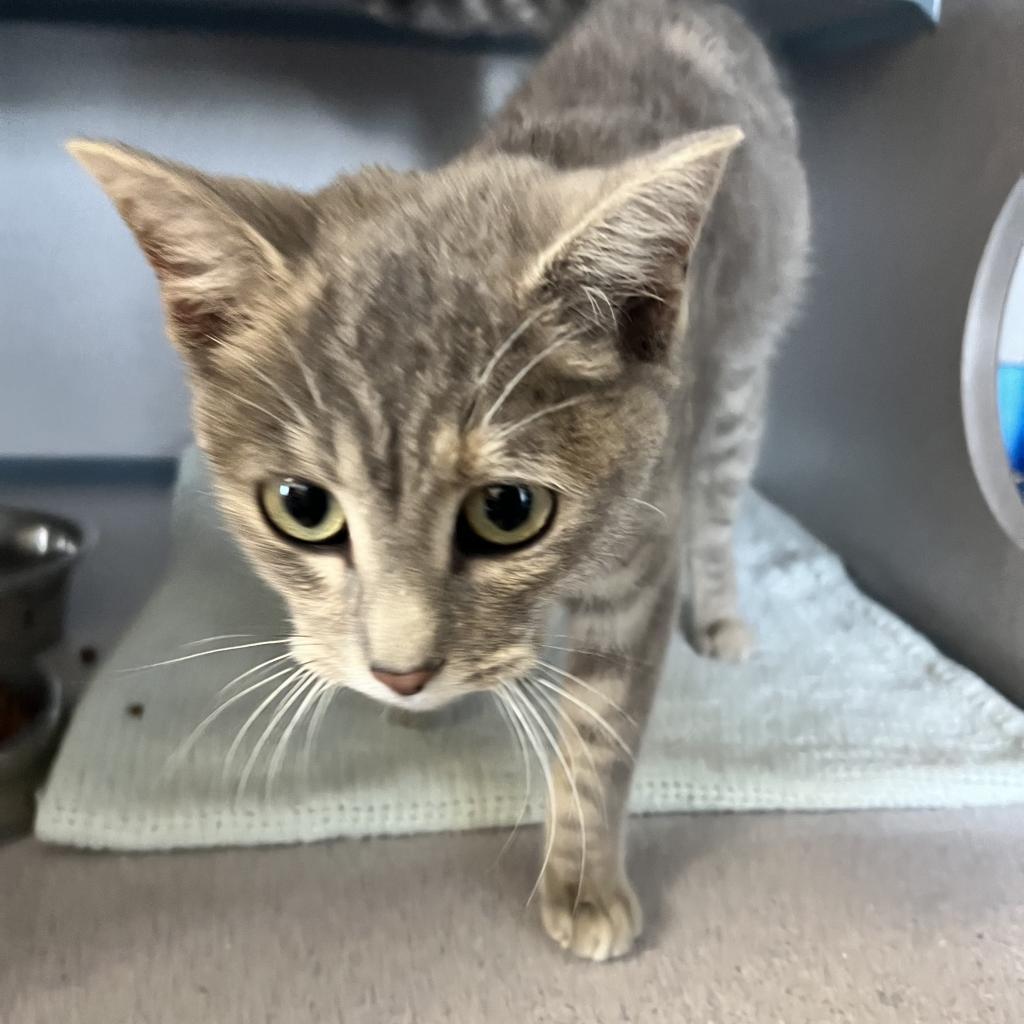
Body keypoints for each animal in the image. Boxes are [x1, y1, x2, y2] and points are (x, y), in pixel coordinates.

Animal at [72, 0, 806, 958]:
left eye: (509, 509)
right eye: (301, 506)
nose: (402, 674)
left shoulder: (644, 547)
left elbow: (601, 725)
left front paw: (583, 880)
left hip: (745, 365)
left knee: (723, 500)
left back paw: (719, 616)